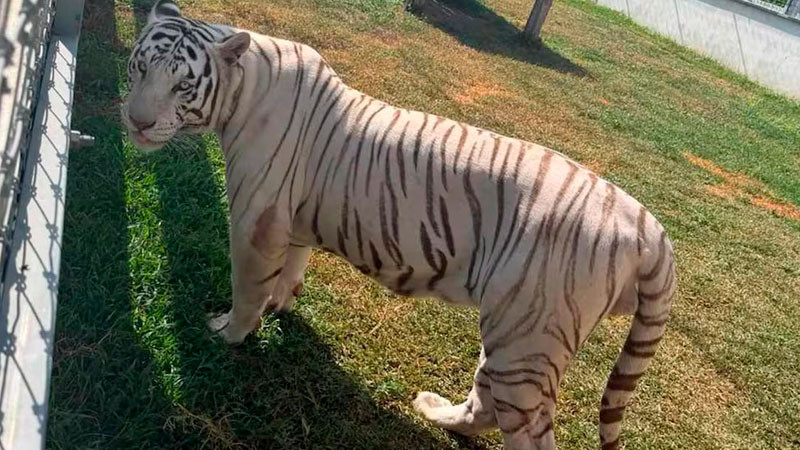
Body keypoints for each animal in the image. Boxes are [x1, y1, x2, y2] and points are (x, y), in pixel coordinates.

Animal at [122, 2, 677, 449]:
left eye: (182, 84)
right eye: (139, 68)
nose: (136, 122)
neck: (243, 89)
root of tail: (649, 228)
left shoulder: (255, 221)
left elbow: (247, 288)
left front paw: (229, 332)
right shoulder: (293, 219)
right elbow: (292, 268)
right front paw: (283, 305)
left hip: (529, 337)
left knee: (525, 428)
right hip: (514, 332)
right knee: (485, 401)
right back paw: (437, 412)